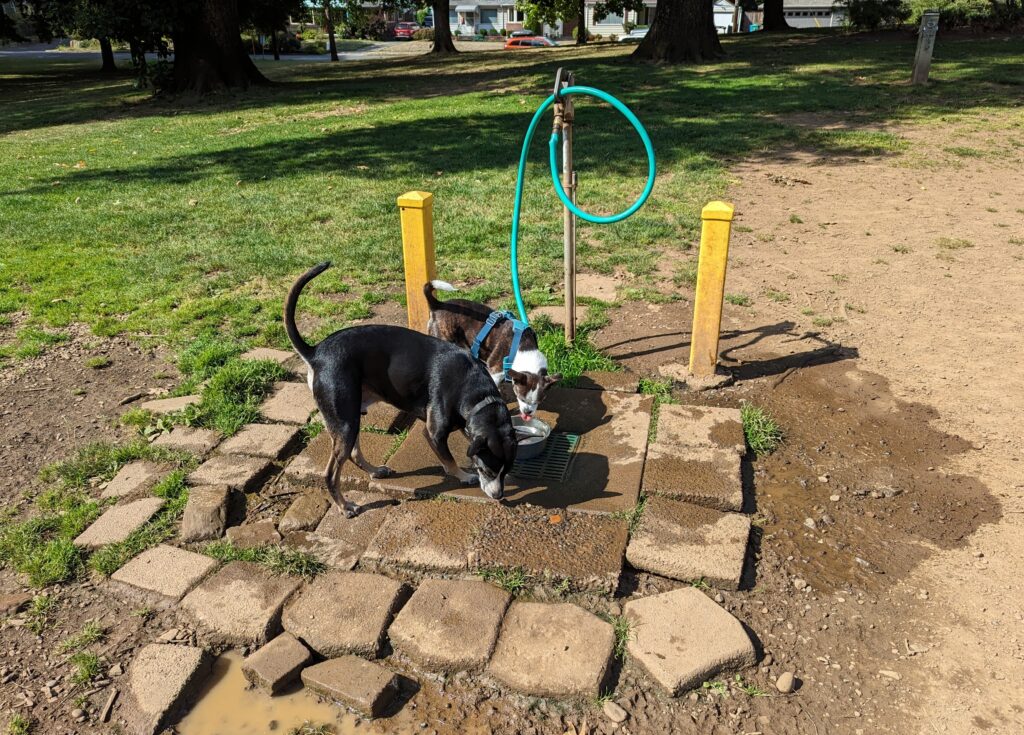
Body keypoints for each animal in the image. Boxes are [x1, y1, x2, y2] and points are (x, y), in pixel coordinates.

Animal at [284, 264, 516, 517]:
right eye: (487, 471)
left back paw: (375, 471)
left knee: (353, 453)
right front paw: (464, 476)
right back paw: (345, 506)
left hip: (351, 419)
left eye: (506, 471)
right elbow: (449, 461)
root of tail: (315, 352)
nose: (499, 496)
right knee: (331, 473)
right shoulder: (433, 433)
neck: (476, 393)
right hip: (345, 423)